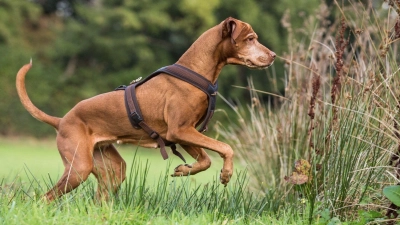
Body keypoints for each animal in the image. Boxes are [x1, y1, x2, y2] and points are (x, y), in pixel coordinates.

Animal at [14, 17, 274, 200]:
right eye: (250, 38)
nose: (273, 55)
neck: (196, 72)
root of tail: (61, 121)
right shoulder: (180, 131)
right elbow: (226, 148)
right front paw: (227, 173)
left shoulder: (185, 133)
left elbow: (206, 160)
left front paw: (184, 170)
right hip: (78, 167)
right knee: (45, 198)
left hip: (111, 169)